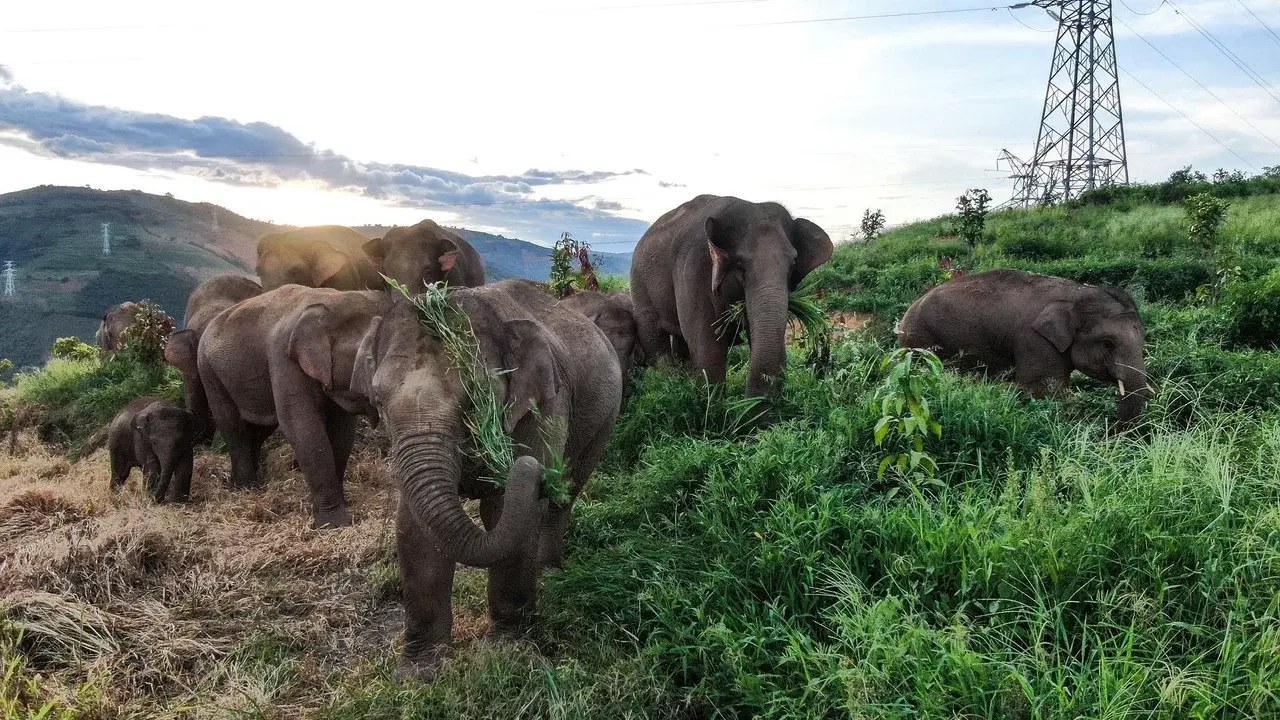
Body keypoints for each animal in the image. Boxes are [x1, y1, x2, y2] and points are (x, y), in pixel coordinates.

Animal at [196, 285, 386, 528]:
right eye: (371, 359)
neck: (334, 301)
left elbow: (342, 430)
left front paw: (343, 505)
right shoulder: (283, 357)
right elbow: (301, 426)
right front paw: (334, 524)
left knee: (261, 425)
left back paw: (256, 480)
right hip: (208, 370)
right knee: (231, 423)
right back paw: (245, 487)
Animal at [349, 278, 622, 679]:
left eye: (473, 400)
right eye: (379, 402)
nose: (533, 468)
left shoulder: (545, 405)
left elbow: (505, 508)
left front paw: (507, 649)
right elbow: (414, 527)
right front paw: (419, 672)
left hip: (605, 418)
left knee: (563, 499)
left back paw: (549, 573)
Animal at [630, 195, 833, 397]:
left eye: (792, 265)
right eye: (741, 266)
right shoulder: (691, 269)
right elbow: (707, 345)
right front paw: (713, 404)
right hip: (639, 286)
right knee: (655, 340)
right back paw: (669, 385)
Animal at [896, 268, 1153, 426]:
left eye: (1143, 338)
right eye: (1108, 344)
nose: (1110, 433)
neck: (1076, 293)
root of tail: (904, 318)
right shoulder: (1035, 341)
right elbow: (1044, 390)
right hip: (920, 343)